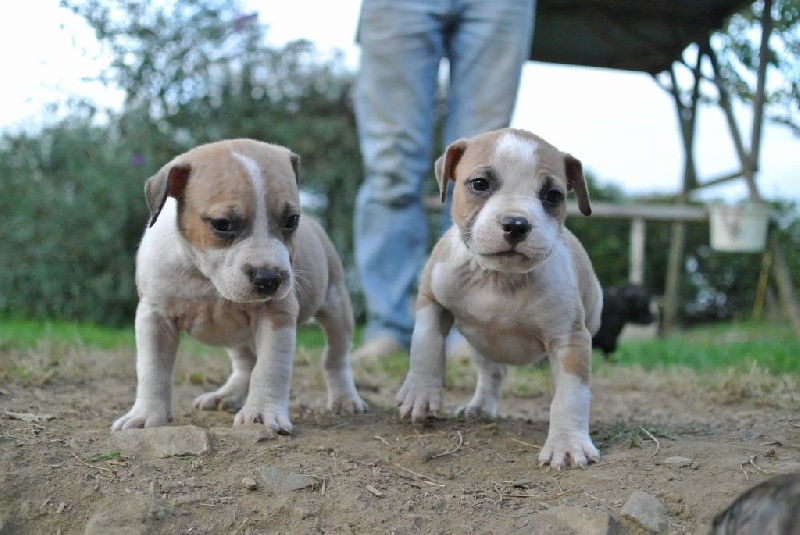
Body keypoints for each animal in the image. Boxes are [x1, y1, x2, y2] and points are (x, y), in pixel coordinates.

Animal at [111, 139, 366, 436]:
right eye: (222, 224)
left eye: (291, 220)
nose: (269, 278)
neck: (204, 277)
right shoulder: (155, 317)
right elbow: (152, 369)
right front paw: (146, 415)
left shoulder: (276, 315)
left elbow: (270, 368)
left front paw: (262, 413)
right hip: (236, 336)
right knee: (246, 362)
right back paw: (226, 395)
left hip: (336, 306)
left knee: (336, 357)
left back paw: (345, 399)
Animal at [396, 129, 604, 468]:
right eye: (480, 184)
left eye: (553, 196)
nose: (516, 224)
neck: (499, 277)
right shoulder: (432, 299)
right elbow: (424, 345)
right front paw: (421, 393)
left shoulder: (569, 339)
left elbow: (570, 394)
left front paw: (568, 443)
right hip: (480, 344)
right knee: (492, 372)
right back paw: (479, 406)